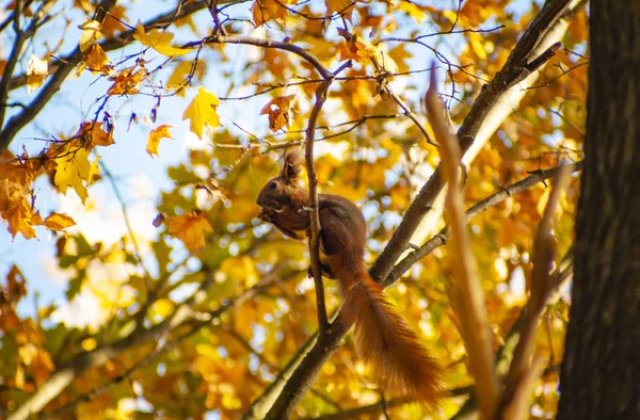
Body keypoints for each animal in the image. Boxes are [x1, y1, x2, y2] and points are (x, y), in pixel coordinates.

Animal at [255, 151, 440, 404]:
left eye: (273, 185)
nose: (258, 202)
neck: (288, 199)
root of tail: (354, 256)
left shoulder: (304, 206)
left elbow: (298, 221)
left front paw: (271, 214)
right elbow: (295, 234)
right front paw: (267, 216)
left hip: (331, 222)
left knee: (327, 235)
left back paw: (320, 241)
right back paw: (319, 269)